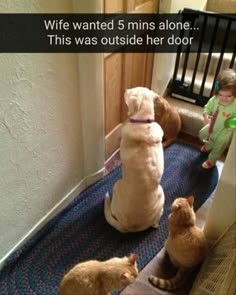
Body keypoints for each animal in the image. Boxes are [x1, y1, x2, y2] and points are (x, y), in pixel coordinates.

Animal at [104, 87, 165, 234]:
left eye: (130, 92)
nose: (125, 89)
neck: (144, 122)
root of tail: (127, 227)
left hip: (117, 185)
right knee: (155, 224)